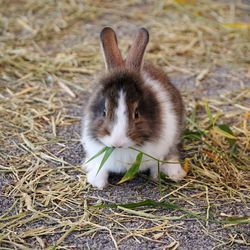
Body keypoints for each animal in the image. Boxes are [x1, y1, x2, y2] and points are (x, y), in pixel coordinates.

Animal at [81, 26, 187, 189]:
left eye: (136, 114)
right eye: (104, 112)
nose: (117, 143)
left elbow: (156, 165)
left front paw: (157, 177)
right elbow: (102, 167)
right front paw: (98, 183)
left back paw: (175, 172)